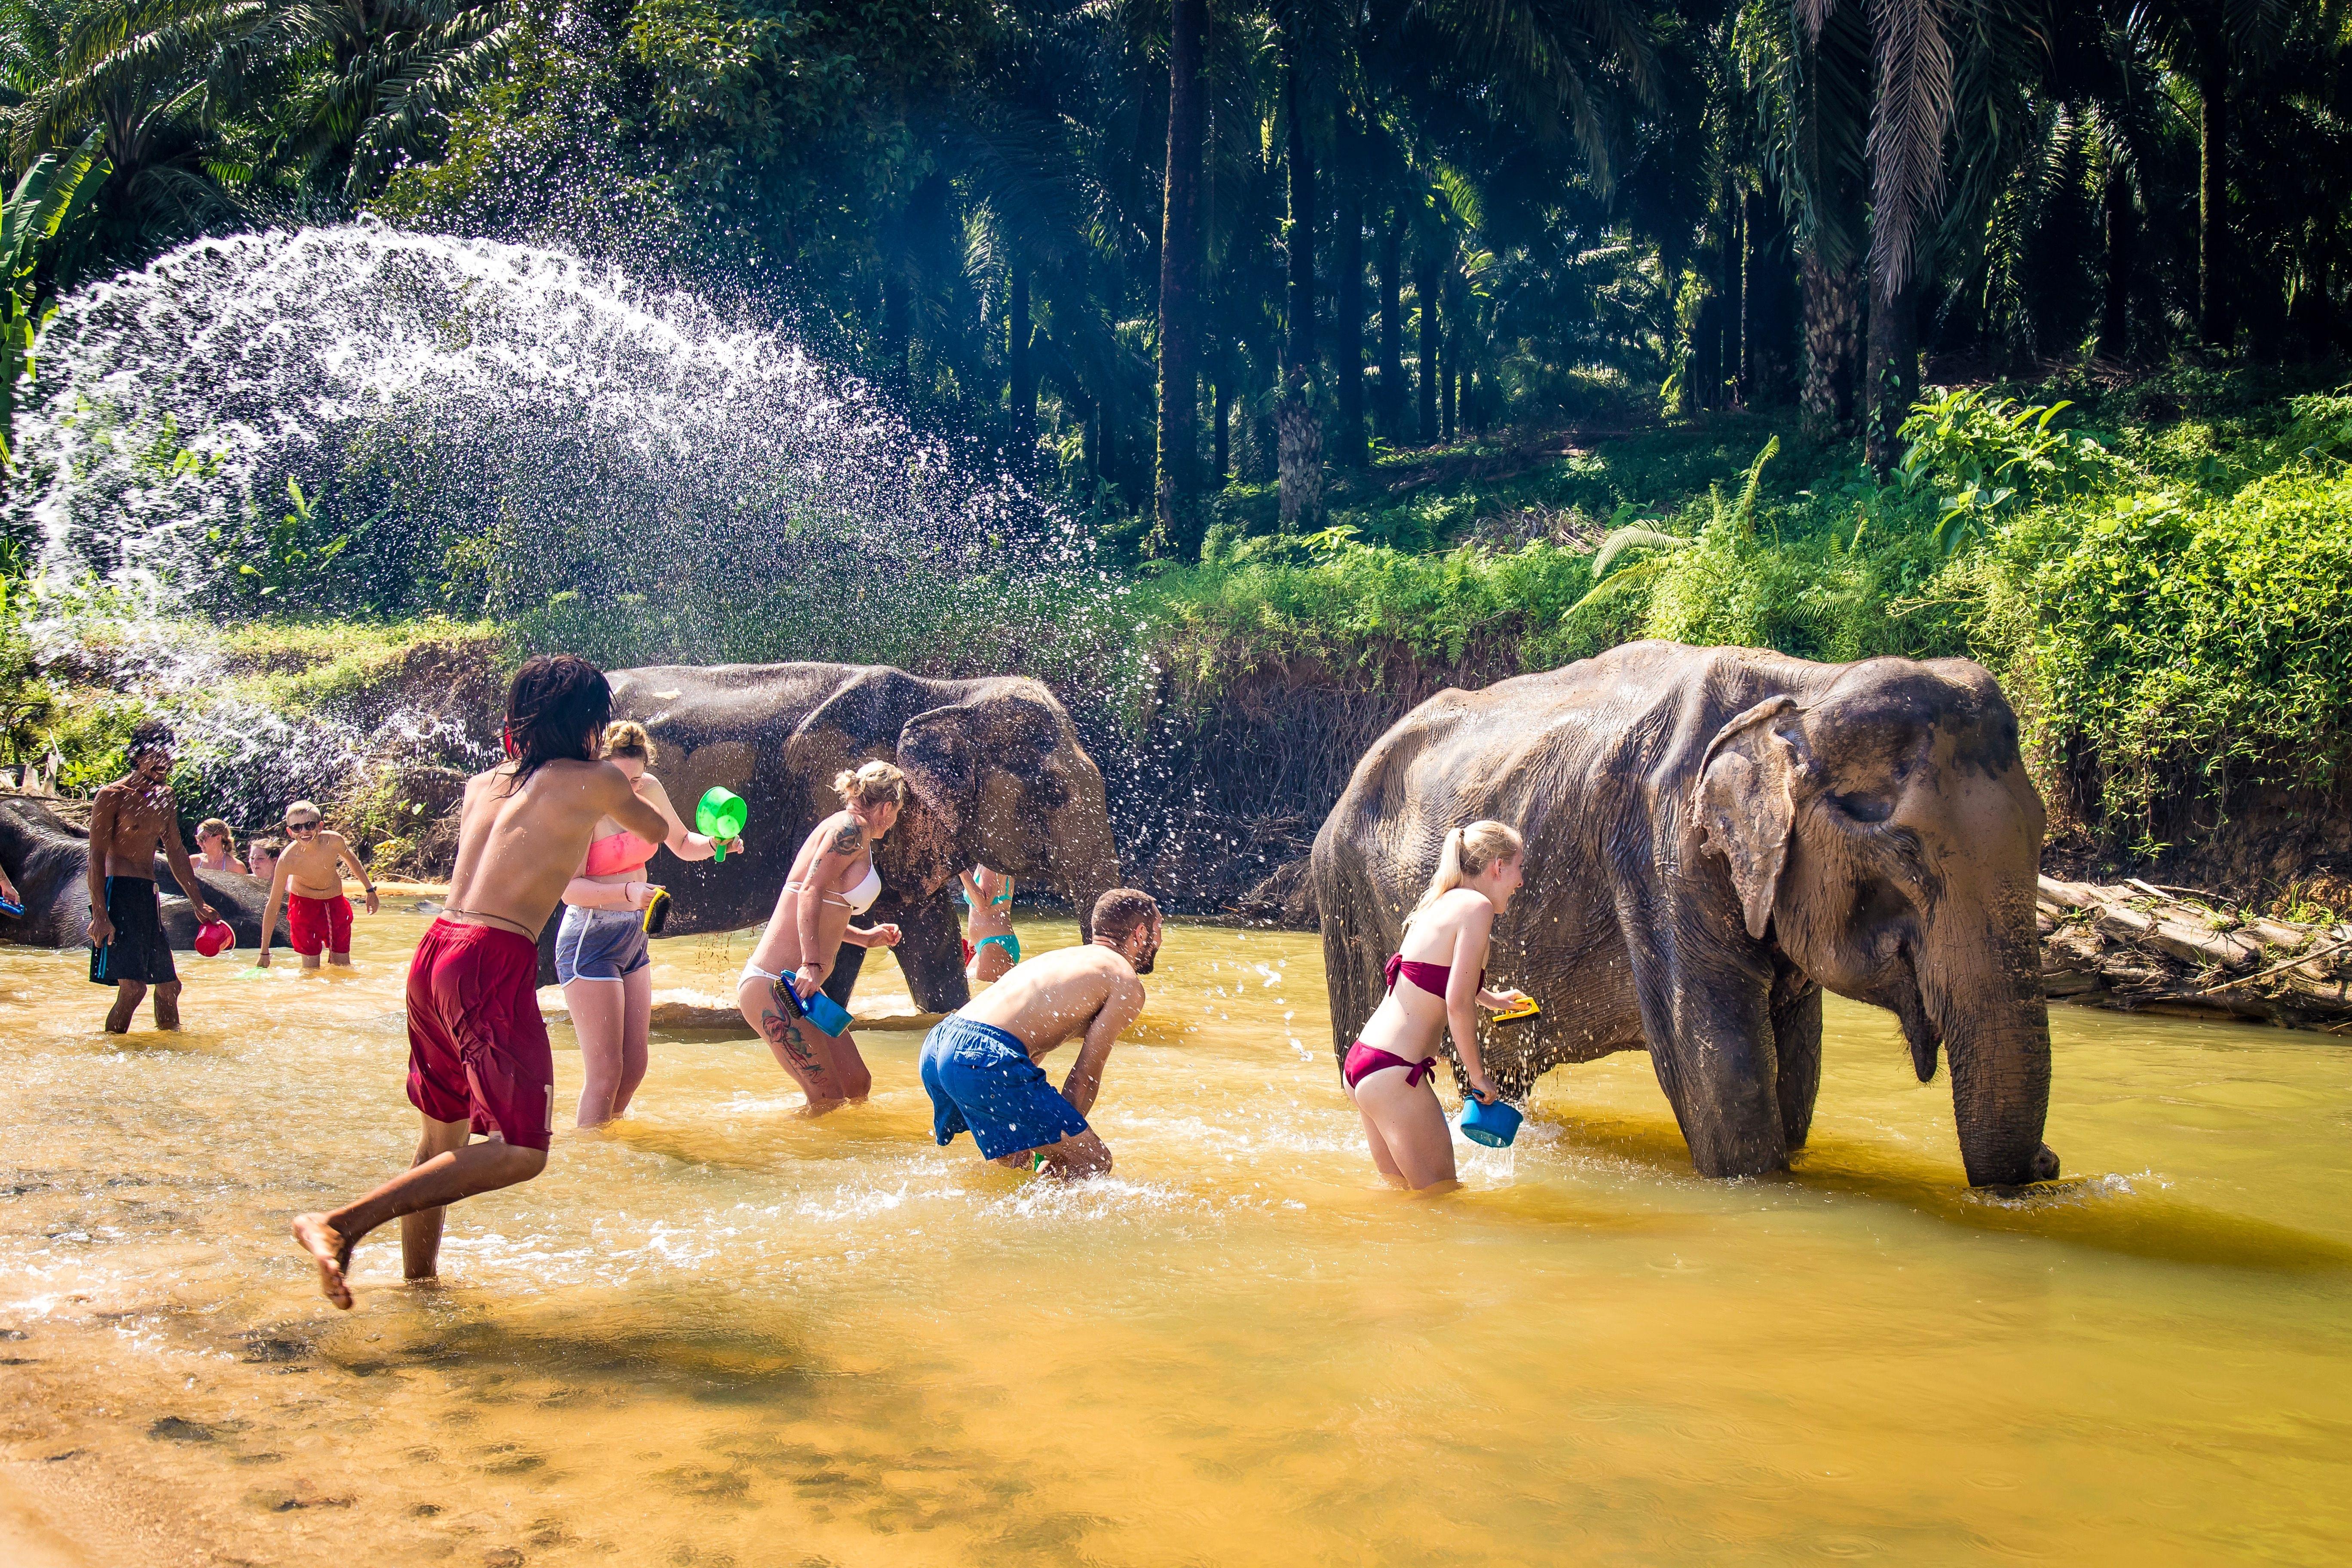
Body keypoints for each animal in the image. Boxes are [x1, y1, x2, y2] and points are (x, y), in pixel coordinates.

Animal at [1317, 639, 2070, 1189]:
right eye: (1907, 853)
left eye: (2041, 837)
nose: (2049, 1162)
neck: (1804, 692)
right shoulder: (1662, 856)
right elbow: (1723, 1080)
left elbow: (1797, 1071)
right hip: (1346, 903)